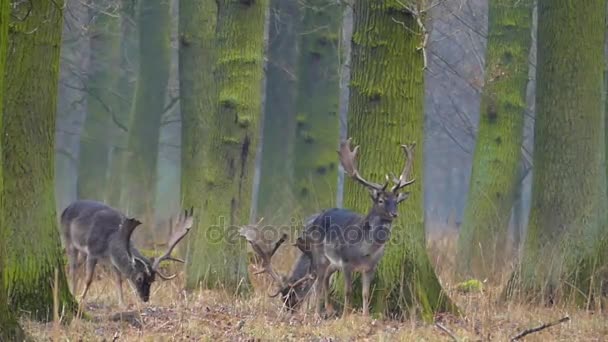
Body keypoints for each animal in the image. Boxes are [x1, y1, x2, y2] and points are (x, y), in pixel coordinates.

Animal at [60, 199, 194, 306]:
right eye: (139, 278)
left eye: (153, 280)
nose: (145, 298)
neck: (110, 242)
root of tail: (65, 209)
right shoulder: (93, 251)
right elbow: (88, 279)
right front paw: (81, 299)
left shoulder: (112, 261)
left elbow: (119, 280)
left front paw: (122, 303)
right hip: (68, 239)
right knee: (72, 267)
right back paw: (73, 292)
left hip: (82, 251)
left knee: (75, 265)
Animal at [240, 137, 416, 318]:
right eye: (381, 200)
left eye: (396, 201)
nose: (394, 214)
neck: (365, 250)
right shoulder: (345, 262)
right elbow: (347, 291)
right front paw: (346, 316)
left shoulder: (371, 267)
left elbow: (365, 293)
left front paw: (365, 316)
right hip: (320, 255)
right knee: (319, 283)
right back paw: (318, 313)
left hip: (329, 262)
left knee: (323, 281)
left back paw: (327, 310)